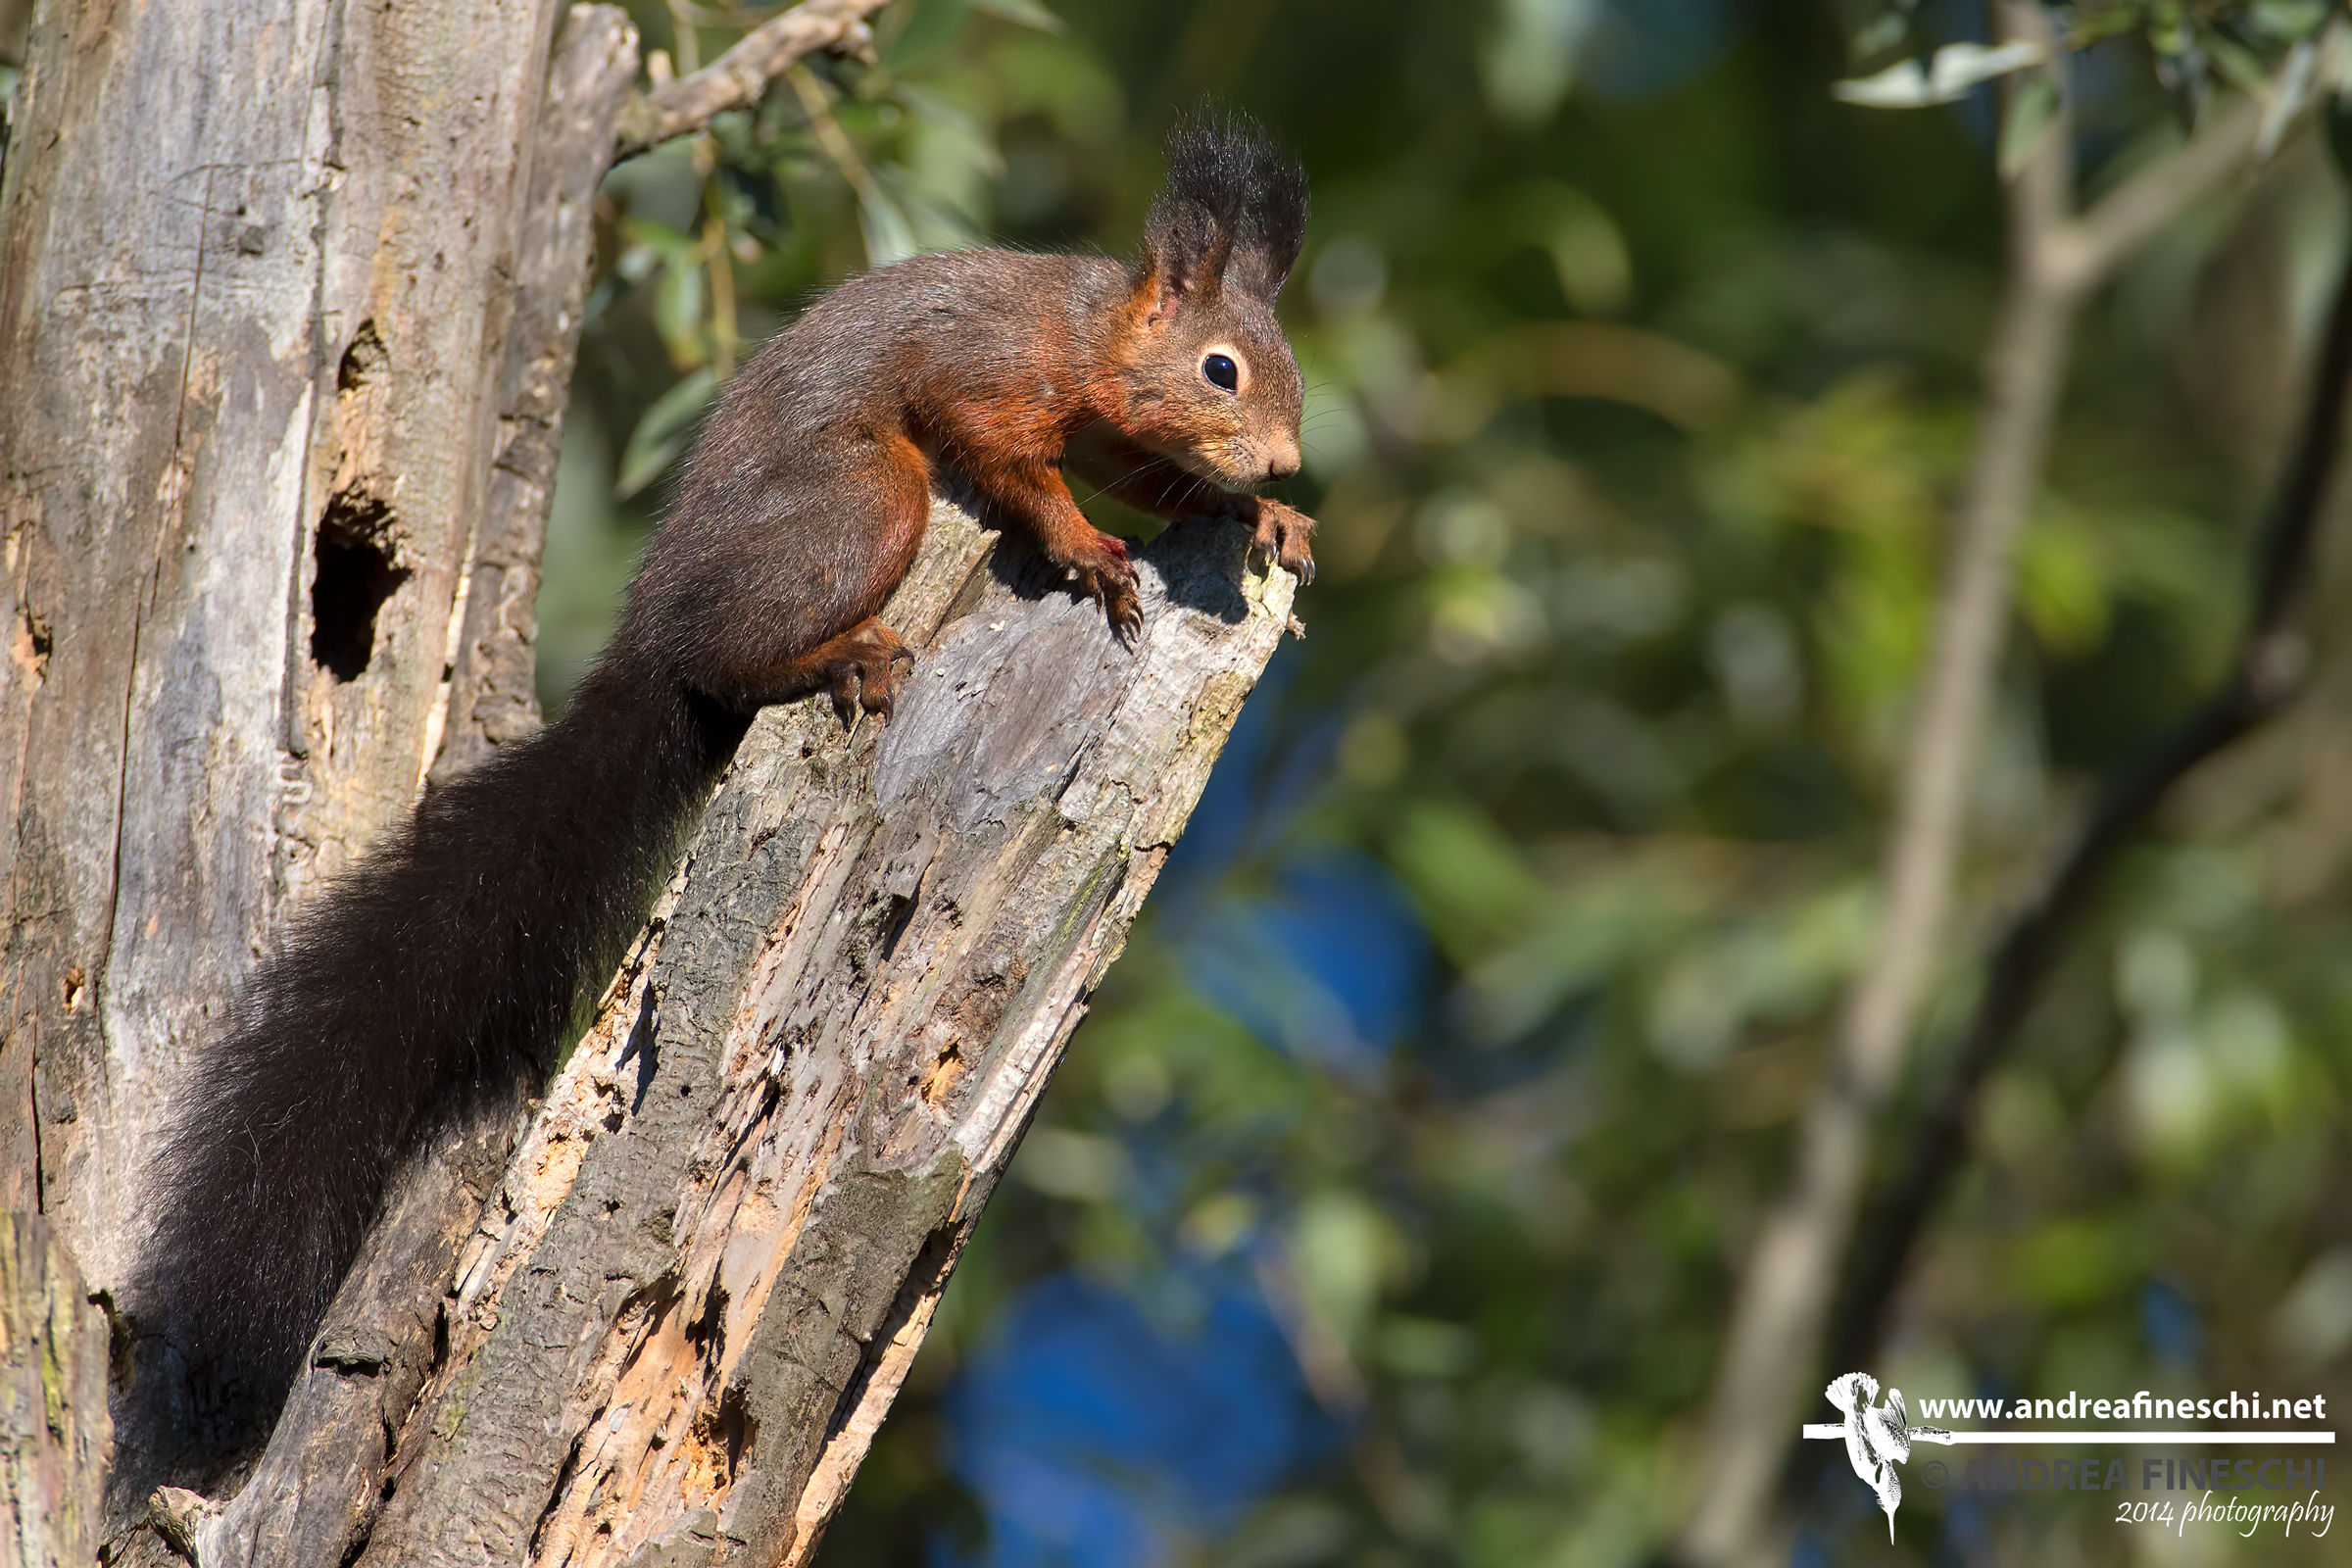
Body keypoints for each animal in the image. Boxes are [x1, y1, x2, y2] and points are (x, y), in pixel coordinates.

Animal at [129, 112, 1314, 1456]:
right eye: (1221, 369)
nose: (1289, 454)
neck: (1087, 332)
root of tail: (649, 629)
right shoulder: (992, 379)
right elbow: (1017, 464)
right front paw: (1089, 549)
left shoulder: (1116, 428)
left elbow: (1153, 479)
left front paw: (1264, 518)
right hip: (866, 501)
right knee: (726, 654)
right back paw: (838, 655)